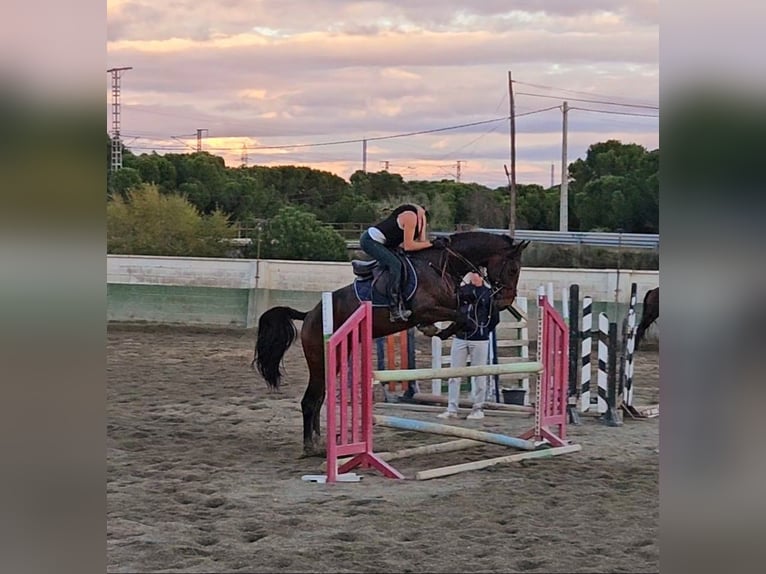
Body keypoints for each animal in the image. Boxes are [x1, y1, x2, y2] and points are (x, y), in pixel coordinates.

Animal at [255, 232, 532, 456]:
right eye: (513, 269)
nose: (505, 301)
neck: (440, 265)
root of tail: (311, 314)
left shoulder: (451, 301)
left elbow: (467, 305)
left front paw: (445, 328)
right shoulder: (425, 309)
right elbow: (461, 315)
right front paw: (443, 329)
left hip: (333, 360)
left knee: (319, 399)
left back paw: (319, 442)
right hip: (319, 360)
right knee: (309, 401)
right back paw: (310, 447)